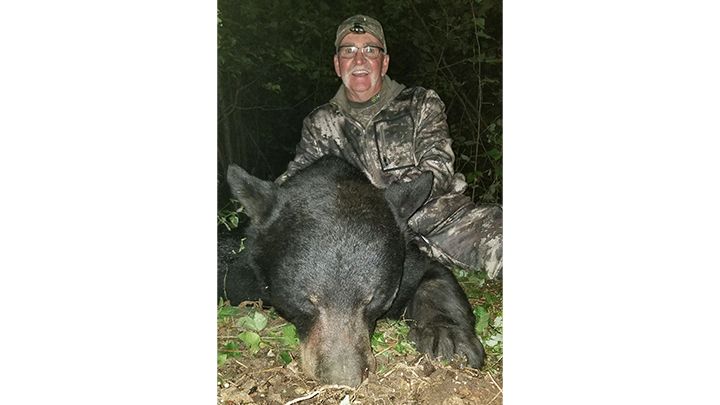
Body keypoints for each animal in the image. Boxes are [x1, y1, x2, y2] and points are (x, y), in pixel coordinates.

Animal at [219, 155, 484, 386]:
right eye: (307, 301)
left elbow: (433, 276)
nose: (344, 378)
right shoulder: (244, 267)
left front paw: (447, 337)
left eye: (373, 300)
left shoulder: (405, 261)